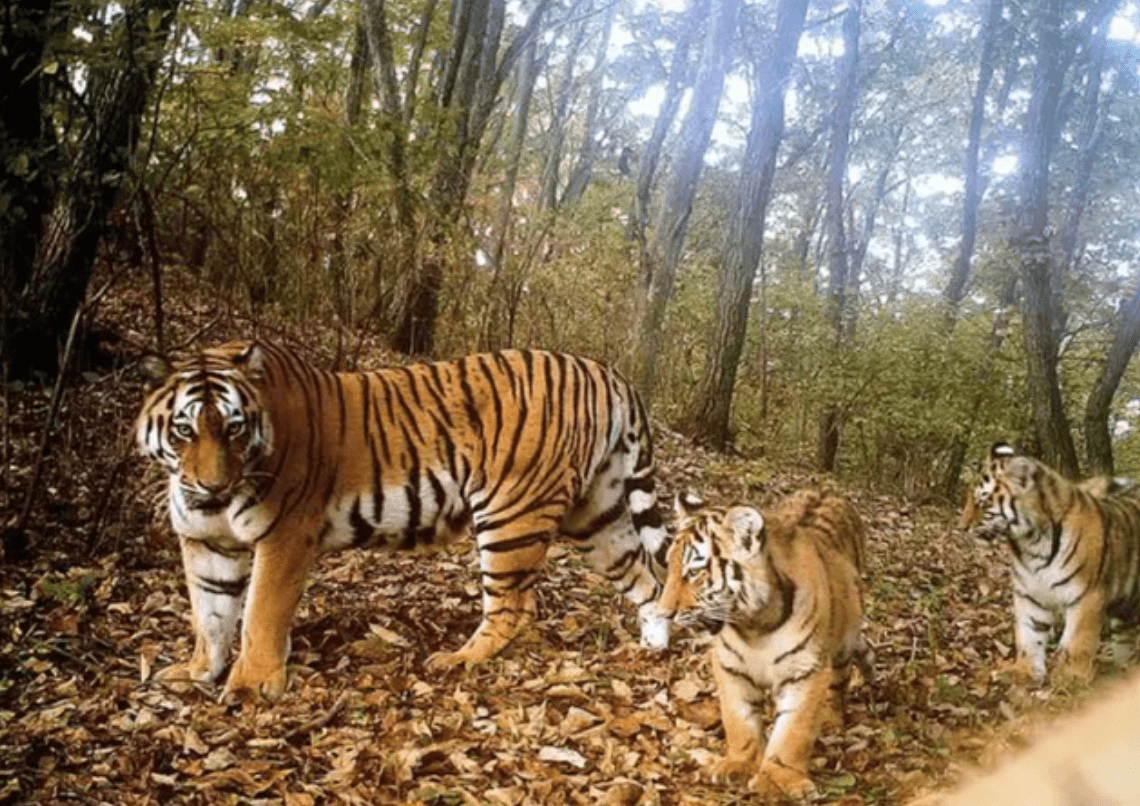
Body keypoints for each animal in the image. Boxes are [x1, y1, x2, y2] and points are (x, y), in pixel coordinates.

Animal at [134, 339, 670, 697]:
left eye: (234, 428)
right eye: (184, 430)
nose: (213, 486)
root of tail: (605, 371)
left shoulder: (285, 535)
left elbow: (259, 615)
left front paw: (250, 689)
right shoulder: (206, 543)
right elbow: (210, 614)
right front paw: (196, 673)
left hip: (512, 513)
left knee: (515, 606)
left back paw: (457, 660)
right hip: (598, 516)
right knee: (648, 578)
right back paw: (652, 649)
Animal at [656, 487, 866, 802]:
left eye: (694, 572)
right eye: (668, 566)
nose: (662, 613)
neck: (755, 626)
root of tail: (826, 491)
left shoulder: (807, 671)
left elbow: (794, 730)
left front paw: (778, 779)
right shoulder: (730, 667)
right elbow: (738, 720)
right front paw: (740, 764)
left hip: (844, 641)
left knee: (839, 682)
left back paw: (832, 720)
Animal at [966, 444, 1140, 684]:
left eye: (982, 502)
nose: (962, 527)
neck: (1030, 544)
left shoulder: (1086, 596)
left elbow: (1077, 643)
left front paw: (1070, 679)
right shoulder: (1030, 594)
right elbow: (1029, 637)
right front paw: (1023, 672)